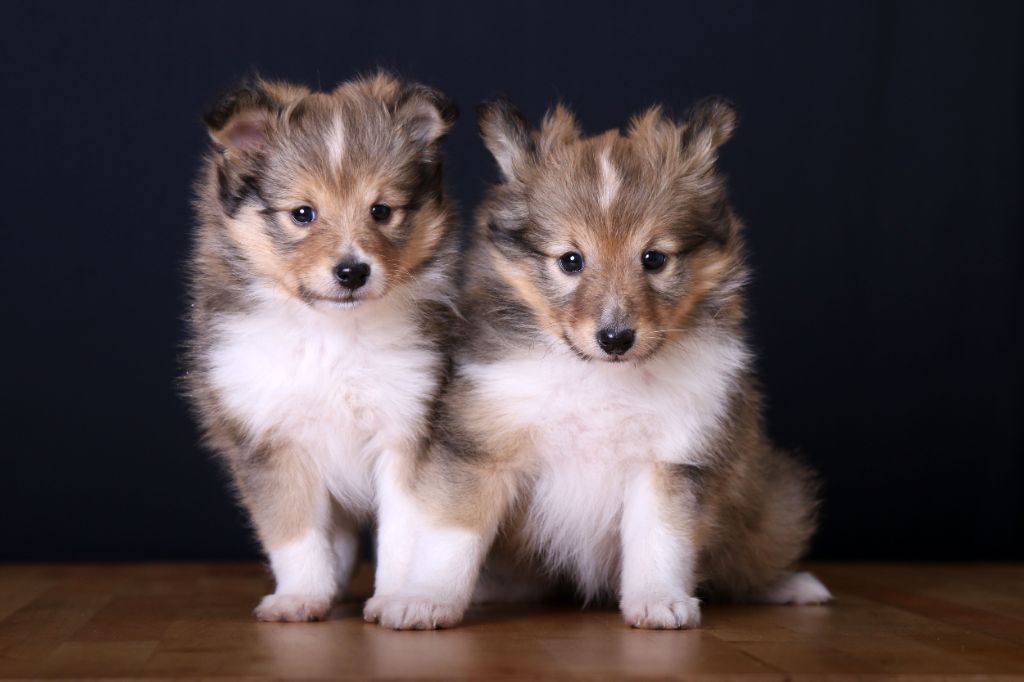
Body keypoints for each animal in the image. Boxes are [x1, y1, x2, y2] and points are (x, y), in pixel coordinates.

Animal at [183, 71, 456, 618]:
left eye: (381, 211)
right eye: (303, 213)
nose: (352, 271)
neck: (330, 333)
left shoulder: (407, 428)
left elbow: (403, 533)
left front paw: (396, 598)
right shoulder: (270, 437)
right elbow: (293, 531)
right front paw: (301, 597)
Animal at [368, 98, 831, 630]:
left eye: (654, 259)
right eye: (571, 260)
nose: (615, 339)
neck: (598, 377)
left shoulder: (670, 457)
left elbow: (661, 540)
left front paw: (659, 602)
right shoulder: (483, 445)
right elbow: (451, 535)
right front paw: (424, 600)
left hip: (773, 502)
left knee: (749, 563)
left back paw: (792, 585)